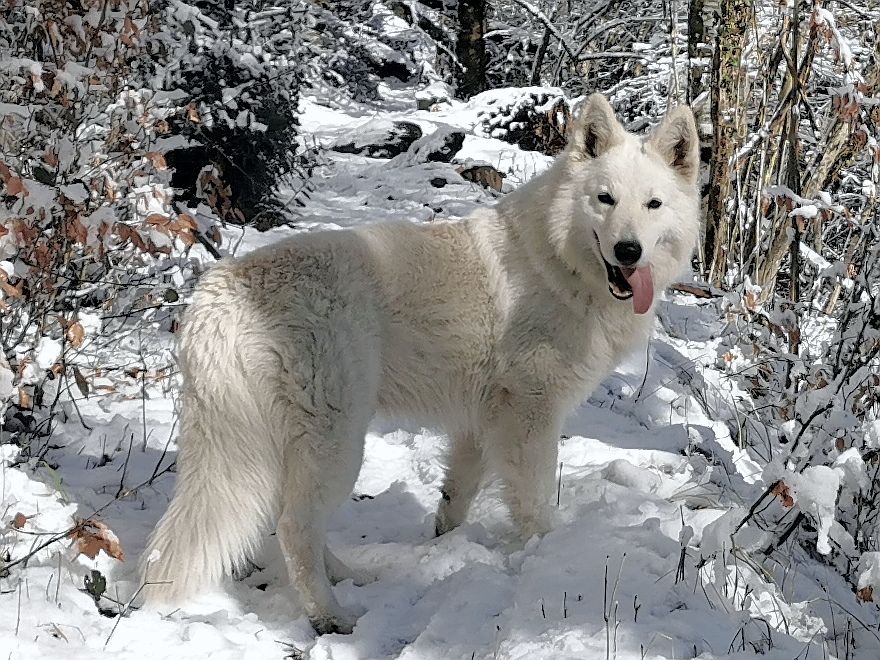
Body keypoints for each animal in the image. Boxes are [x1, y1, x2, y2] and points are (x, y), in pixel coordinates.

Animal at [141, 93, 696, 636]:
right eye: (605, 199)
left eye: (652, 204)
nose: (628, 251)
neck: (560, 265)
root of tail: (216, 295)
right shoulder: (529, 417)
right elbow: (535, 502)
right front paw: (545, 555)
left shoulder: (478, 424)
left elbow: (457, 496)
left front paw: (443, 543)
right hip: (337, 444)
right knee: (294, 528)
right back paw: (330, 616)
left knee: (292, 522)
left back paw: (346, 576)